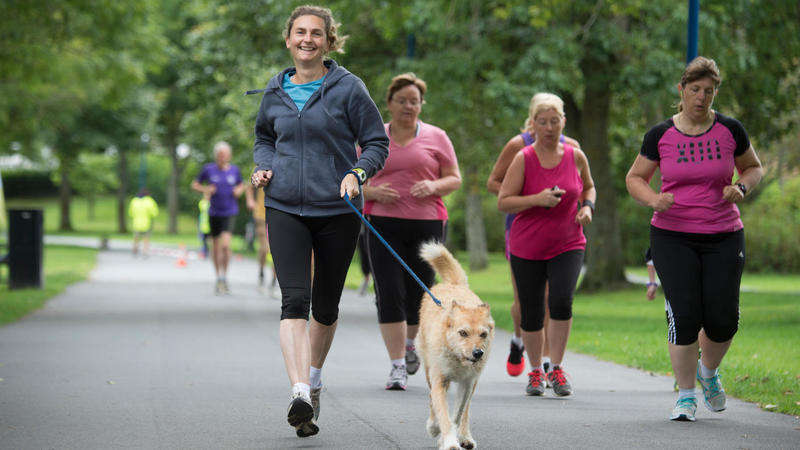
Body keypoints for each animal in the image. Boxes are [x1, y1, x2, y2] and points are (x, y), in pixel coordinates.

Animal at [418, 243, 494, 450]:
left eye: (483, 334)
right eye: (463, 333)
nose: (478, 353)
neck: (457, 358)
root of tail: (454, 284)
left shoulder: (467, 384)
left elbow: (458, 413)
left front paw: (449, 437)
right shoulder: (439, 380)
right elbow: (441, 413)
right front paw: (447, 440)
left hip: (474, 383)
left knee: (466, 411)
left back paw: (465, 437)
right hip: (428, 369)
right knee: (431, 400)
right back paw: (434, 426)